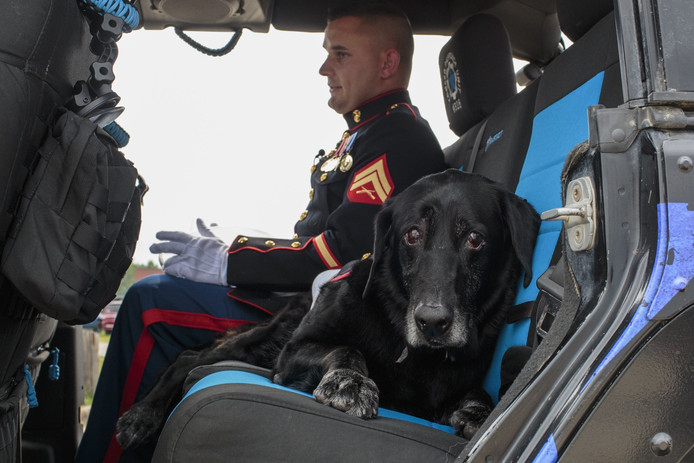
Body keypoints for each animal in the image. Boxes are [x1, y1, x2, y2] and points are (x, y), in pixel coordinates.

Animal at [117, 169, 540, 448]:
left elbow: (480, 392)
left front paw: (480, 412)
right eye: (411, 235)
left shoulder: (438, 398)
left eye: (475, 239)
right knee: (188, 357)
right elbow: (346, 348)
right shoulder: (294, 351)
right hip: (265, 341)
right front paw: (349, 381)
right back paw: (142, 414)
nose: (432, 323)